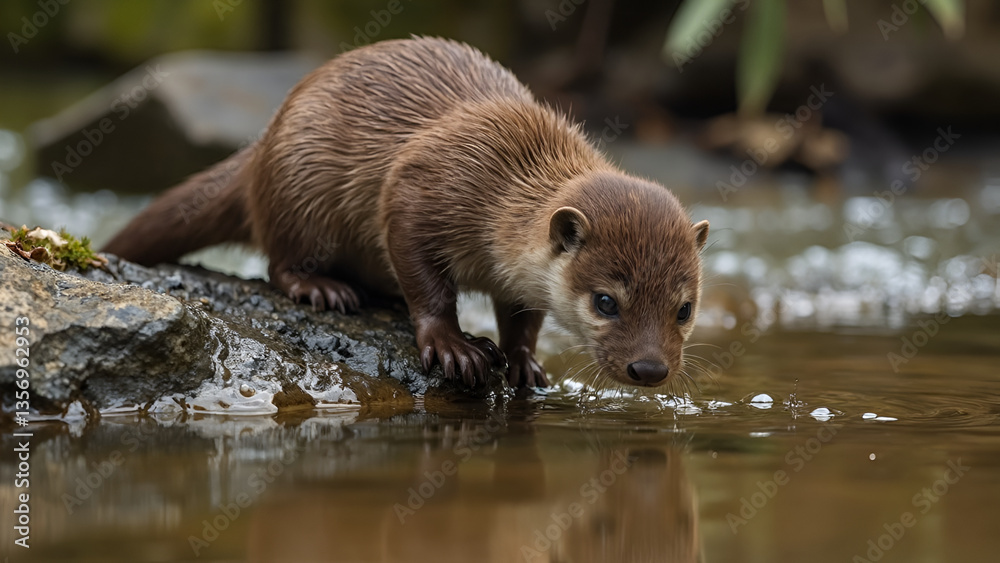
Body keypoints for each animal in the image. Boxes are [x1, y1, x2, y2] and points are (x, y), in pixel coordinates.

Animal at [103, 37, 709, 389]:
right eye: (606, 301)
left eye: (684, 309)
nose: (650, 368)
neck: (500, 186)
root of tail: (265, 140)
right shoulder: (420, 191)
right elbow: (427, 281)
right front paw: (453, 345)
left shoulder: (517, 278)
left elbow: (524, 318)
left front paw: (522, 362)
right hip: (300, 184)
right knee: (279, 260)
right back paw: (325, 289)